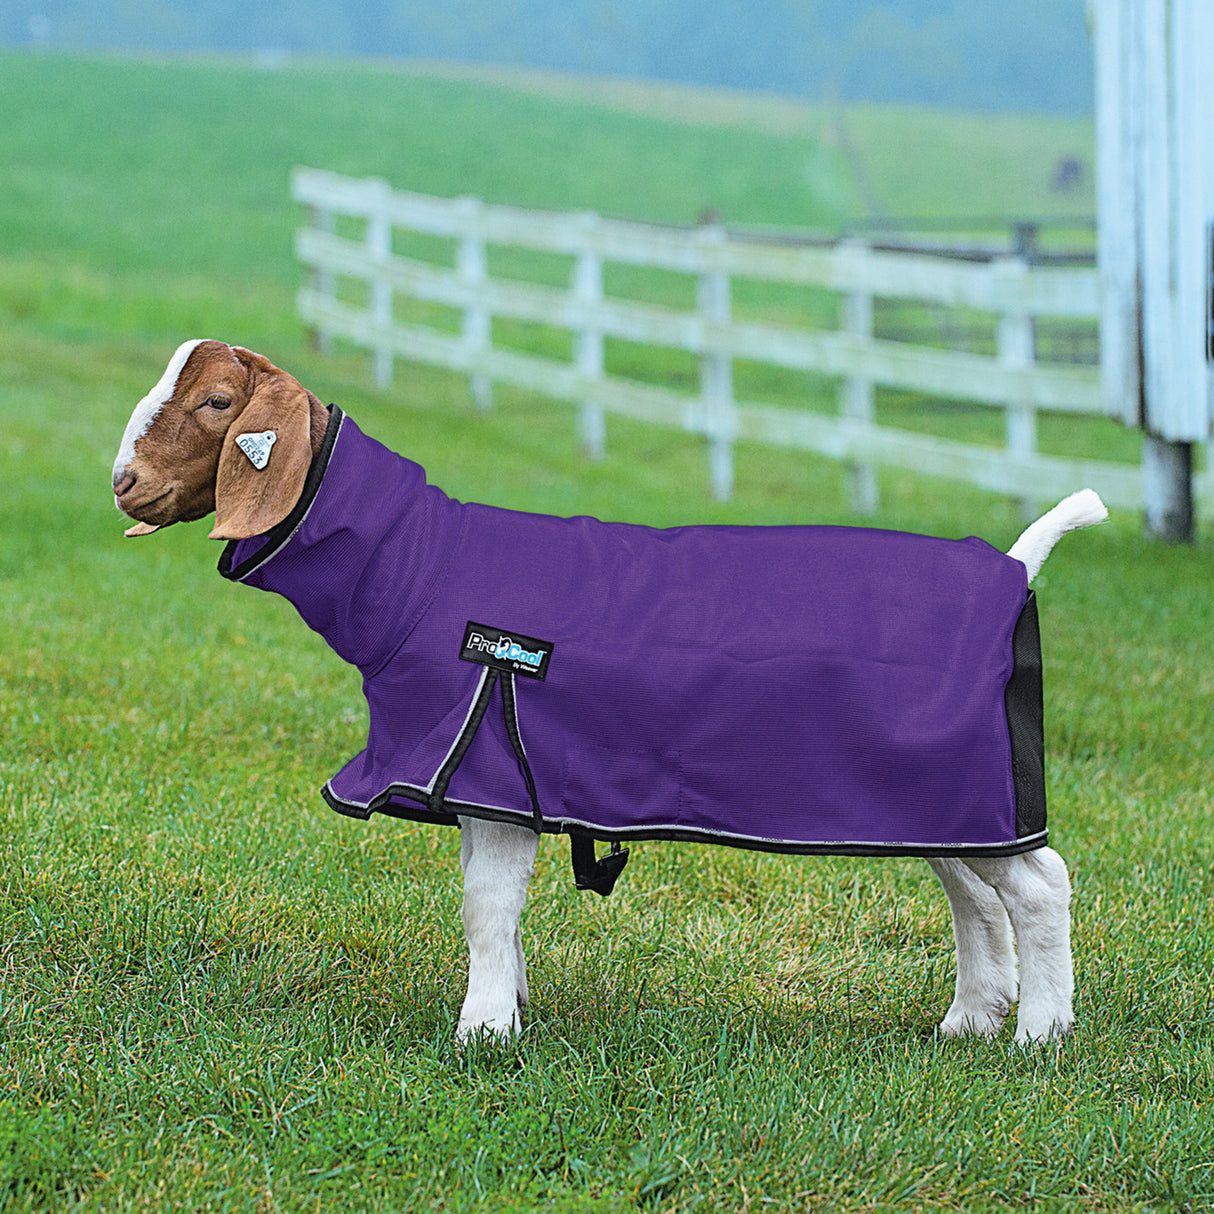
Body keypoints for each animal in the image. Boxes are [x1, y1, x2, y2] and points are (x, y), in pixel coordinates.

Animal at [113, 339, 1108, 1044]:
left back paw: (1040, 1032)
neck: (418, 569)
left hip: (969, 781)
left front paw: (481, 1033)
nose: (123, 482)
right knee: (975, 891)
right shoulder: (479, 781)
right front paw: (509, 1011)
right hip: (943, 791)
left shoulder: (487, 759)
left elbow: (487, 906)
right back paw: (971, 1019)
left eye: (215, 402)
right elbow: (491, 906)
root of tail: (1014, 565)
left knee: (1040, 884)